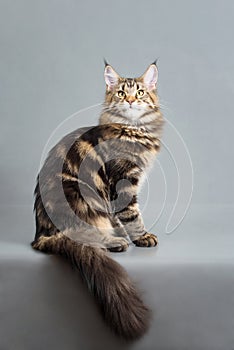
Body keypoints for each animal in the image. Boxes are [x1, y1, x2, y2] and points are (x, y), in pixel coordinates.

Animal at [31, 61, 165, 340]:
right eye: (121, 94)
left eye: (140, 93)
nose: (131, 102)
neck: (134, 131)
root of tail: (40, 235)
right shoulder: (123, 182)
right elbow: (132, 214)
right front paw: (141, 237)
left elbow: (119, 215)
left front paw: (125, 230)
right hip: (79, 196)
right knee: (83, 237)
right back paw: (115, 242)